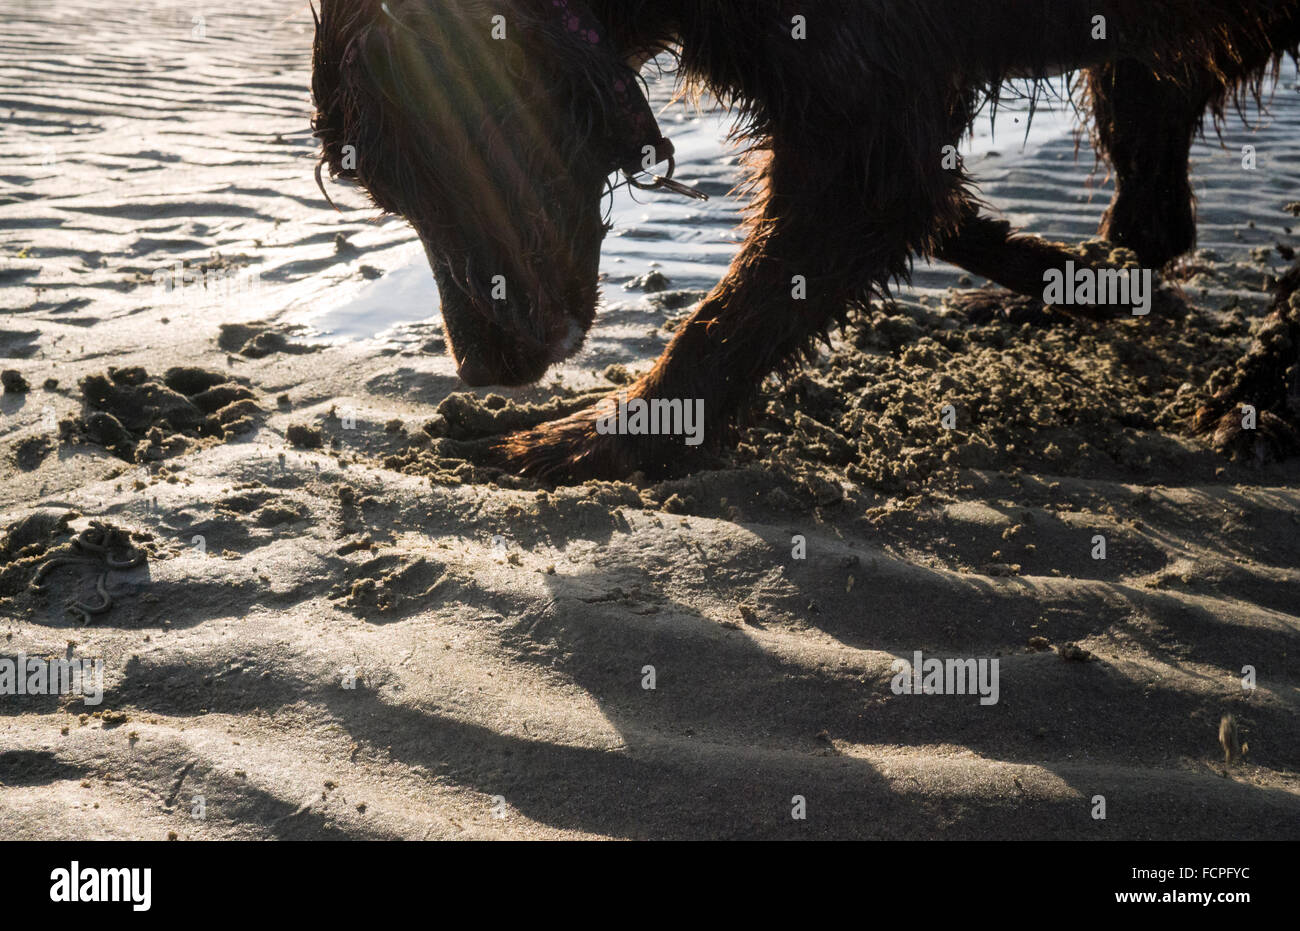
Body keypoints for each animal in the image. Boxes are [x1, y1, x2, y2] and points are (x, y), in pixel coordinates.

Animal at [312, 0, 1300, 481]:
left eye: (435, 157)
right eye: (383, 188)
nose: (482, 369)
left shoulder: (866, 133)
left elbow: (725, 318)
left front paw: (604, 436)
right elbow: (942, 213)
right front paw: (1070, 275)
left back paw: (1258, 398)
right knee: (1156, 217)